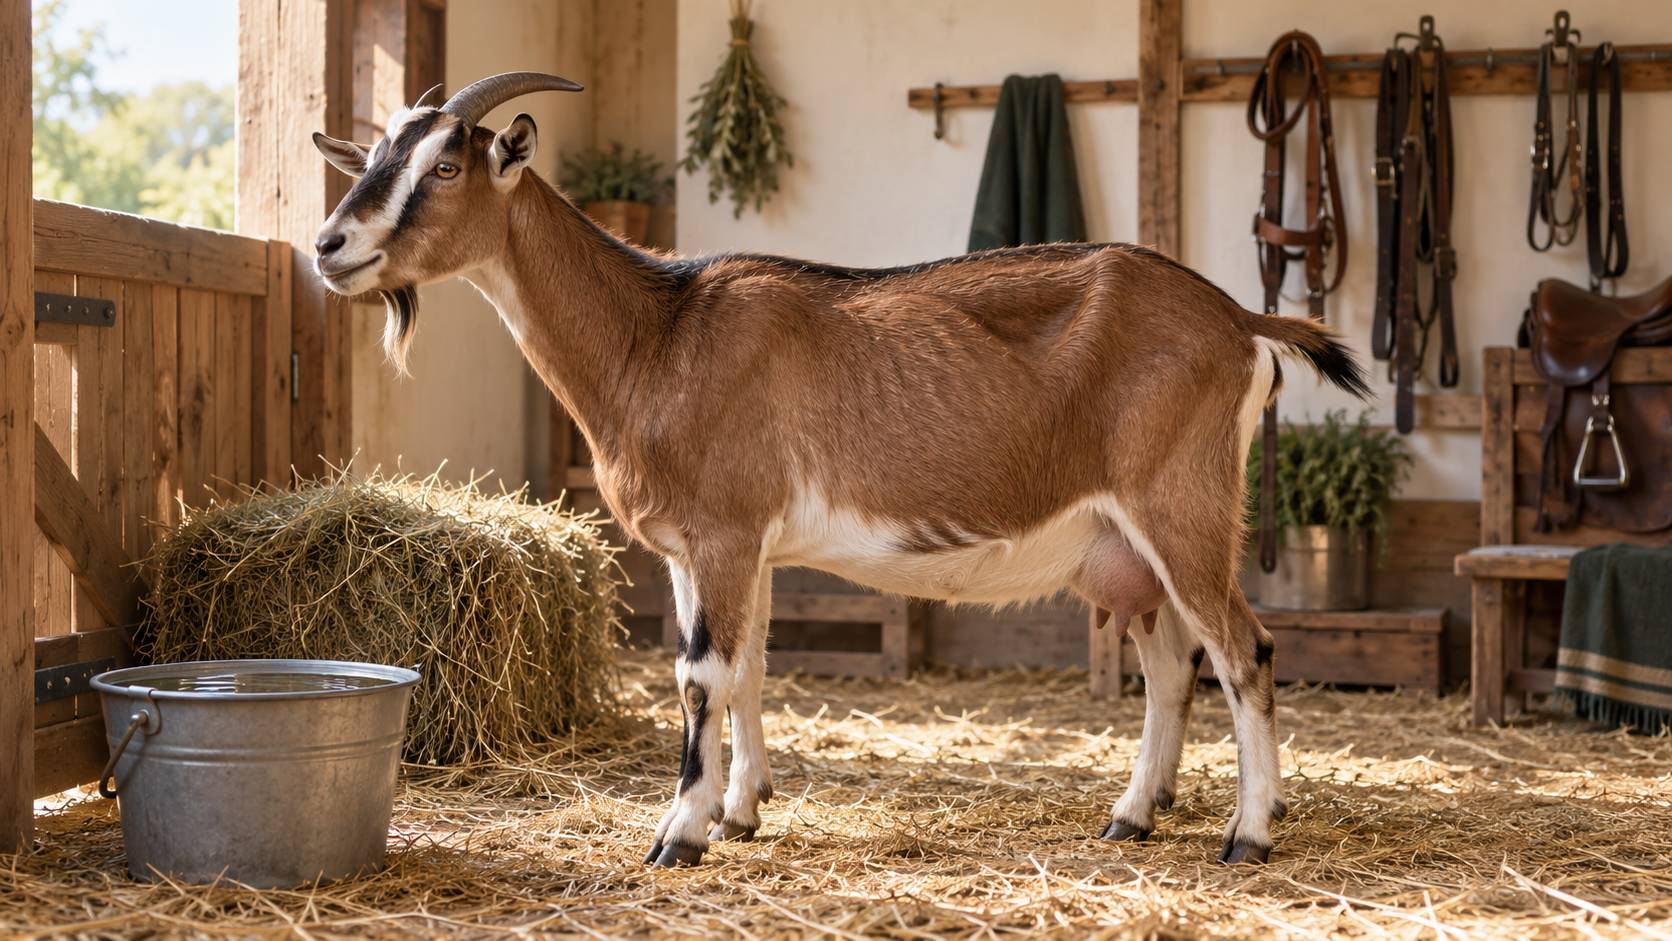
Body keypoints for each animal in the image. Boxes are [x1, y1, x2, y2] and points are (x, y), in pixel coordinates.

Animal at [312, 72, 1370, 868]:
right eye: (373, 161)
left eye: (447, 165)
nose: (329, 245)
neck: (657, 335)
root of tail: (1239, 320)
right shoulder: (718, 548)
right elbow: (746, 669)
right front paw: (741, 810)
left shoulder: (724, 529)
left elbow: (698, 677)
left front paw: (679, 834)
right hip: (1125, 544)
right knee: (1170, 665)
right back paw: (1132, 814)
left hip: (1183, 506)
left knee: (1243, 651)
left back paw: (1248, 834)